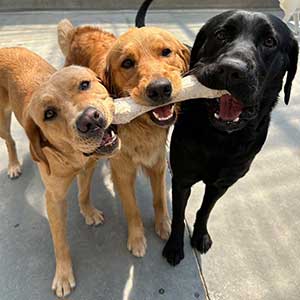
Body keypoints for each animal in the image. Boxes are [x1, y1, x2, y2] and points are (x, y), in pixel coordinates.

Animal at [0, 47, 119, 298]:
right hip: (1, 123)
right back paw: (14, 164)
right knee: (10, 141)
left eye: (84, 84)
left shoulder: (88, 168)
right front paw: (63, 274)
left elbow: (84, 194)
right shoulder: (53, 199)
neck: (72, 156)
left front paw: (88, 212)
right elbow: (60, 241)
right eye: (49, 114)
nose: (89, 119)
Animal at [58, 19, 190, 256]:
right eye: (127, 63)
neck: (141, 126)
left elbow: (159, 199)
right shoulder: (122, 172)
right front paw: (137, 239)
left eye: (166, 52)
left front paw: (163, 225)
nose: (160, 89)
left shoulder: (157, 163)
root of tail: (80, 30)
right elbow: (132, 209)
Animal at [135, 2, 298, 266]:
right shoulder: (182, 179)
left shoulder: (222, 183)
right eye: (221, 35)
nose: (232, 70)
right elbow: (179, 215)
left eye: (270, 41)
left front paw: (200, 234)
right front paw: (174, 246)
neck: (220, 138)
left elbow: (205, 209)